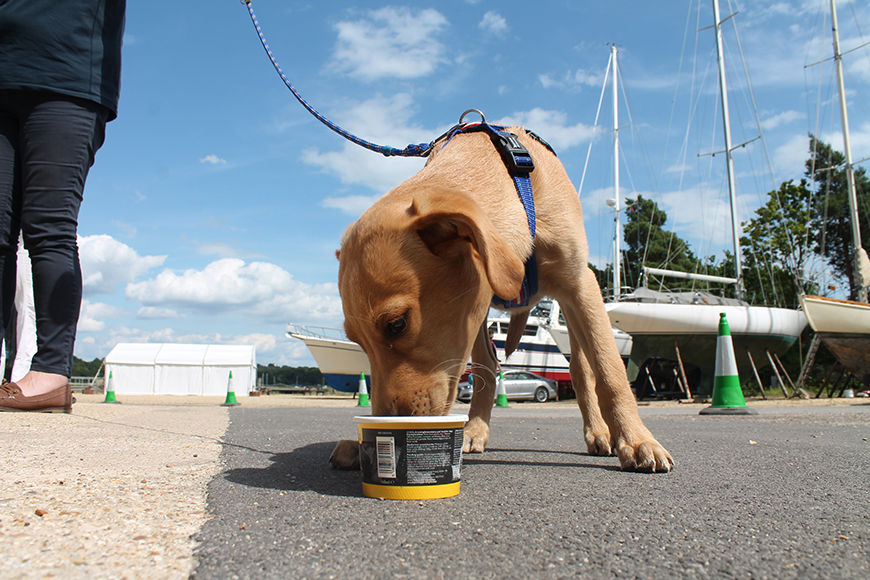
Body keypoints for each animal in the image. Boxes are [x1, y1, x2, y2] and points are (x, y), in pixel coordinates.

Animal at [330, 125, 676, 472]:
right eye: (356, 340)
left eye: (397, 324)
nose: (387, 425)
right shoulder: (475, 308)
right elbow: (482, 370)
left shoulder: (580, 283)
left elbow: (610, 371)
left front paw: (636, 440)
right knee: (490, 366)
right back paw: (473, 430)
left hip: (572, 307)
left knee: (581, 370)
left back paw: (599, 432)